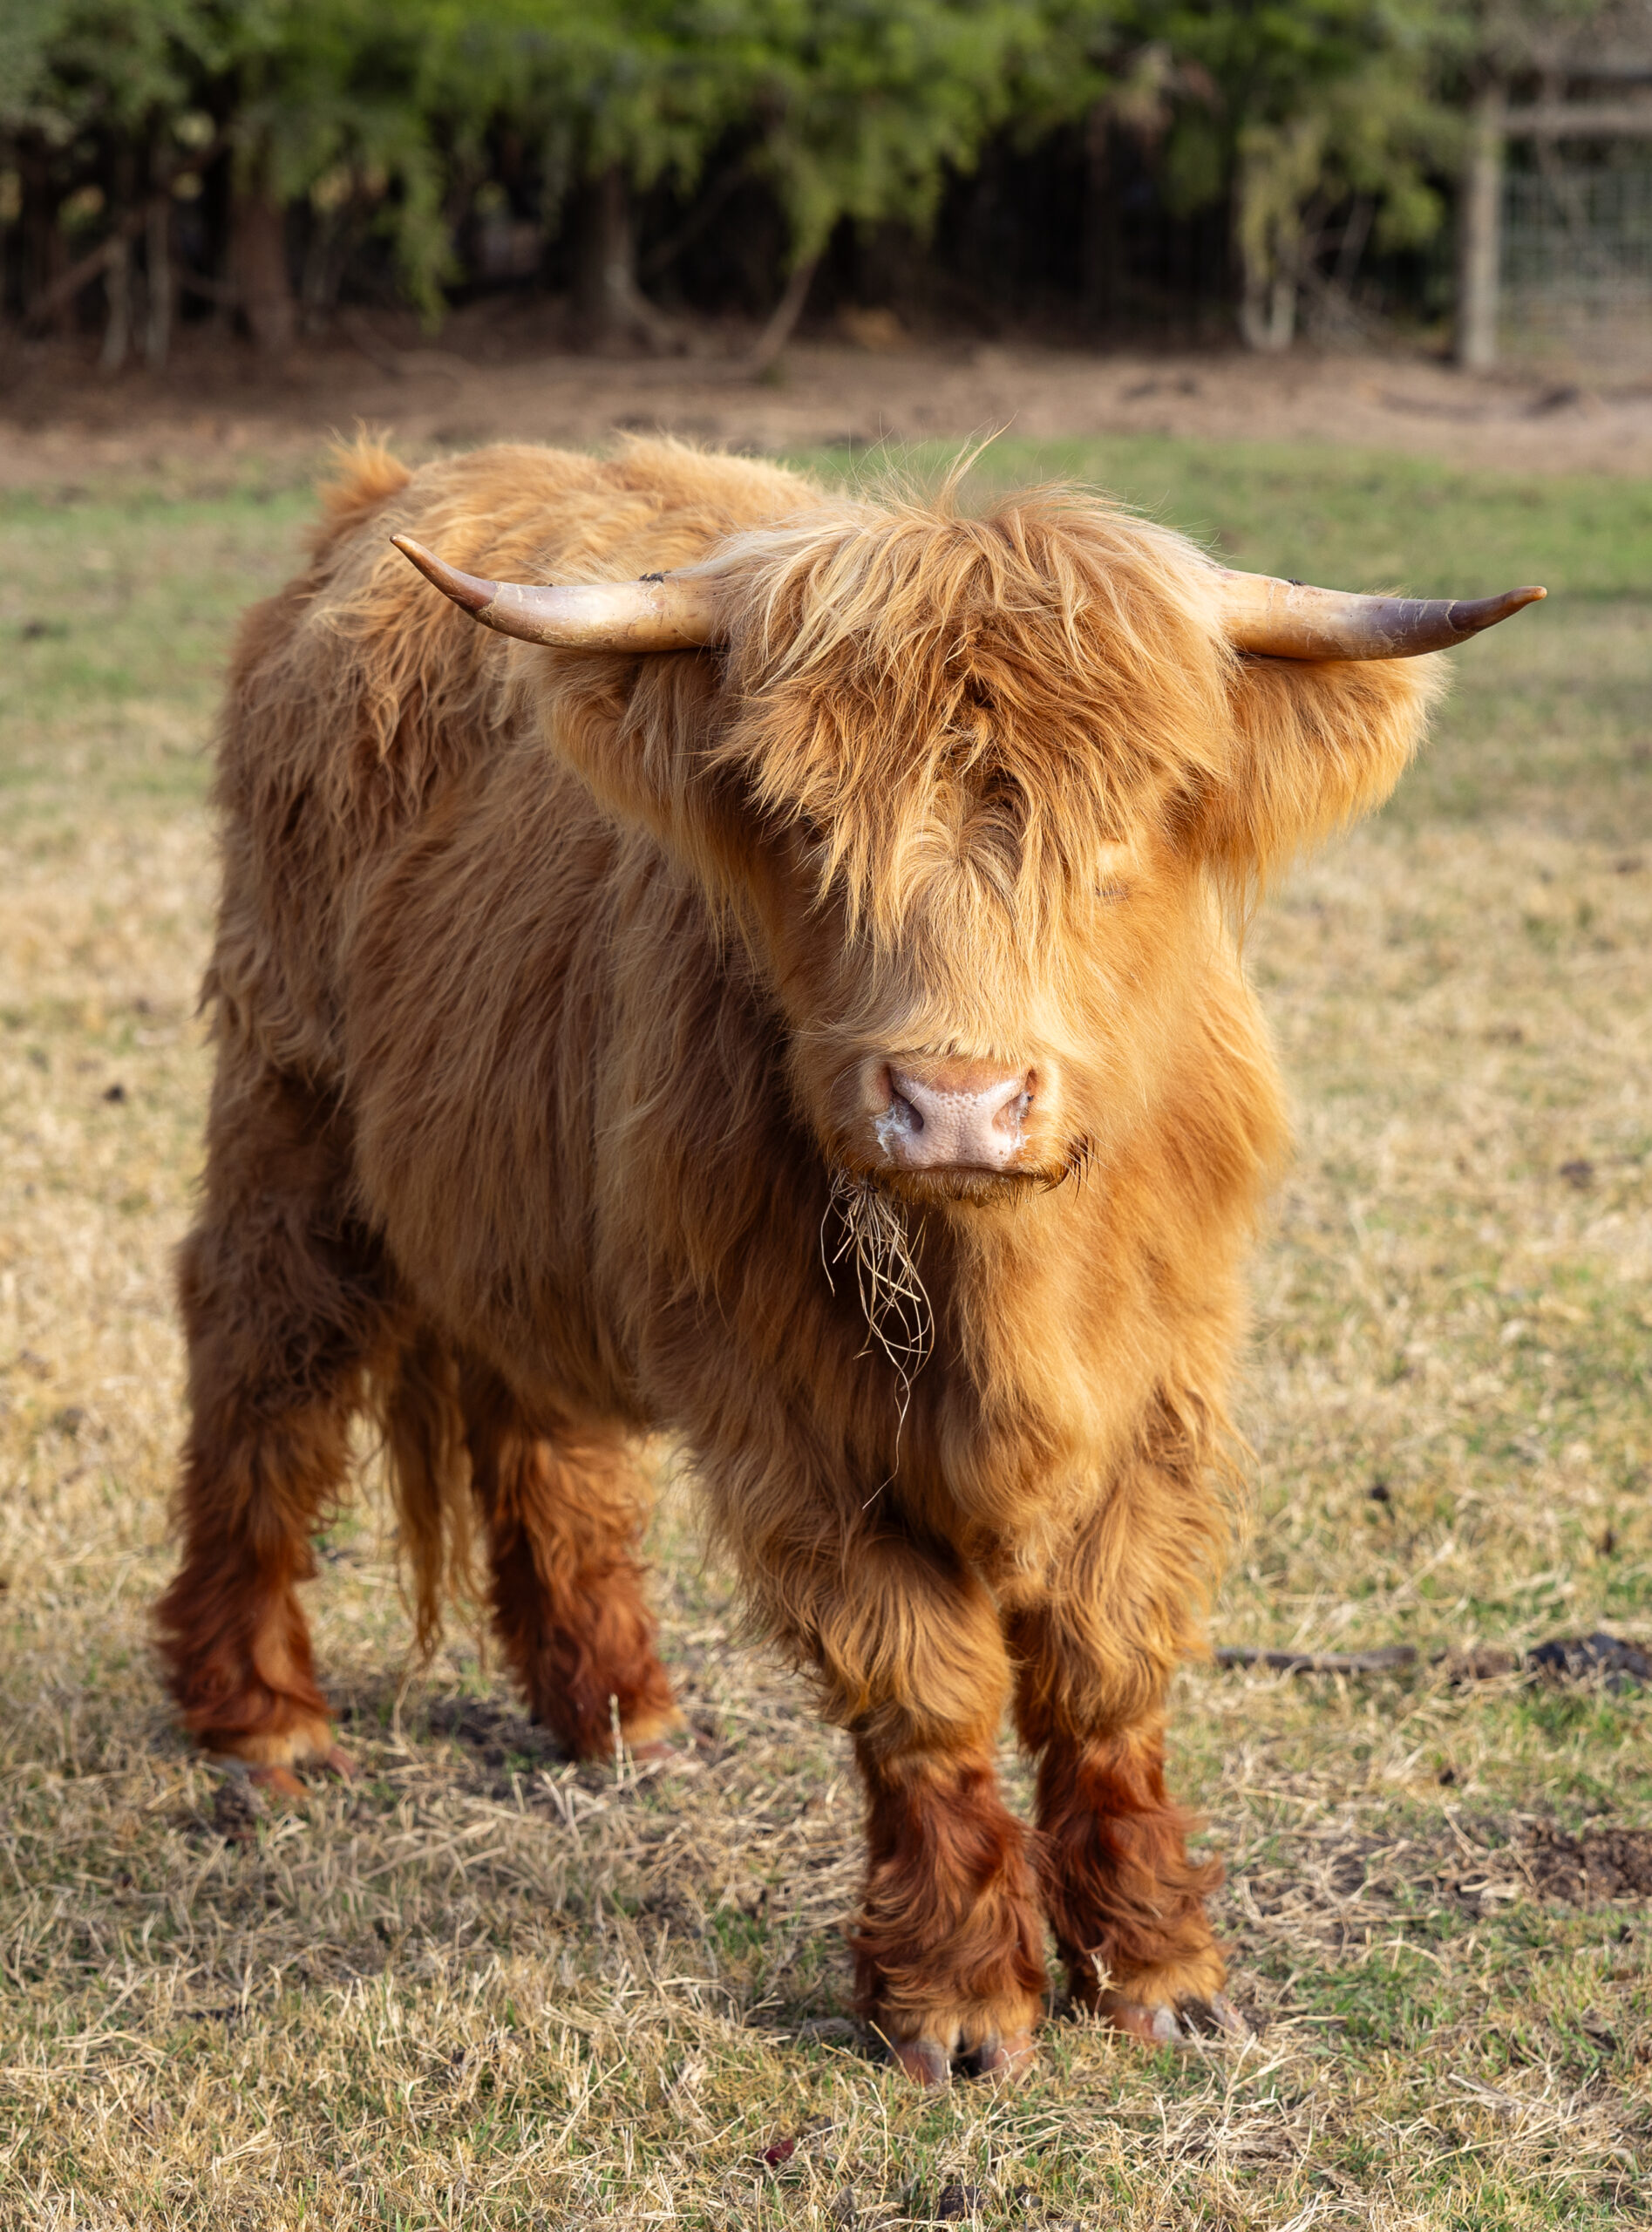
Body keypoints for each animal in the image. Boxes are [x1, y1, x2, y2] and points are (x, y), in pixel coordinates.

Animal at [156, 436, 1540, 2082]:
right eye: (805, 826)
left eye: (1130, 820)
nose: (955, 1100)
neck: (1005, 1291)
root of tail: (392, 494)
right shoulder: (792, 1410)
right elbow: (920, 1682)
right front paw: (957, 2003)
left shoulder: (1166, 1377)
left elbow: (1107, 1660)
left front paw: (1158, 1967)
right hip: (289, 1112)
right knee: (263, 1368)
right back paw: (259, 1720)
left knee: (536, 1417)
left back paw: (616, 1709)